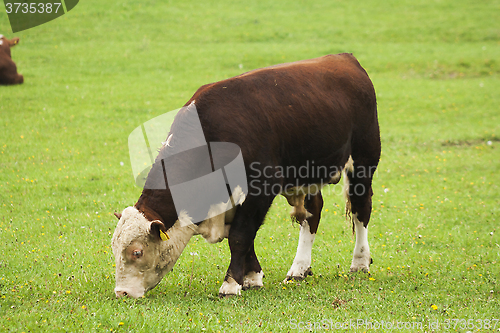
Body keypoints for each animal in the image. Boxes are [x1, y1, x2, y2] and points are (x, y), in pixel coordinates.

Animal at [111, 53, 380, 296]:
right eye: (114, 249)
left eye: (137, 252)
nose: (121, 292)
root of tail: (344, 58)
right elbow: (246, 238)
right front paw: (252, 277)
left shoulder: (260, 191)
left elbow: (240, 237)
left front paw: (231, 285)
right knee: (312, 214)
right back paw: (299, 269)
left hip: (363, 162)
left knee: (361, 208)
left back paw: (359, 262)